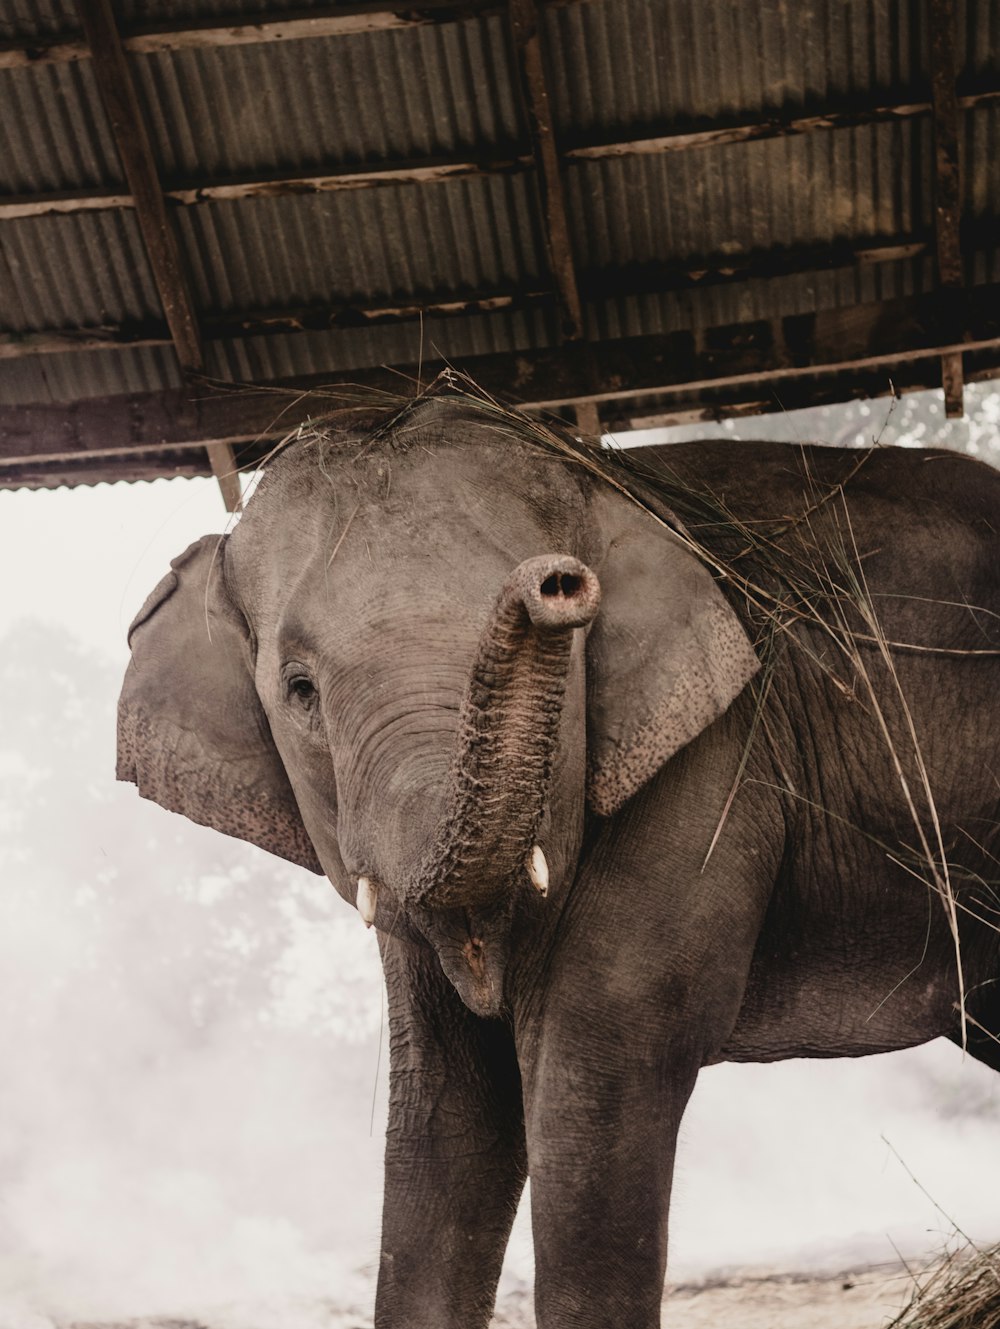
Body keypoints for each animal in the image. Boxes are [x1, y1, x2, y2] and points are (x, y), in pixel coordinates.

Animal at [117, 382, 1000, 1329]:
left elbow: (594, 1066)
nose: (556, 582)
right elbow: (446, 1100)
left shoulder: (716, 765)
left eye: (574, 642)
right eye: (300, 690)